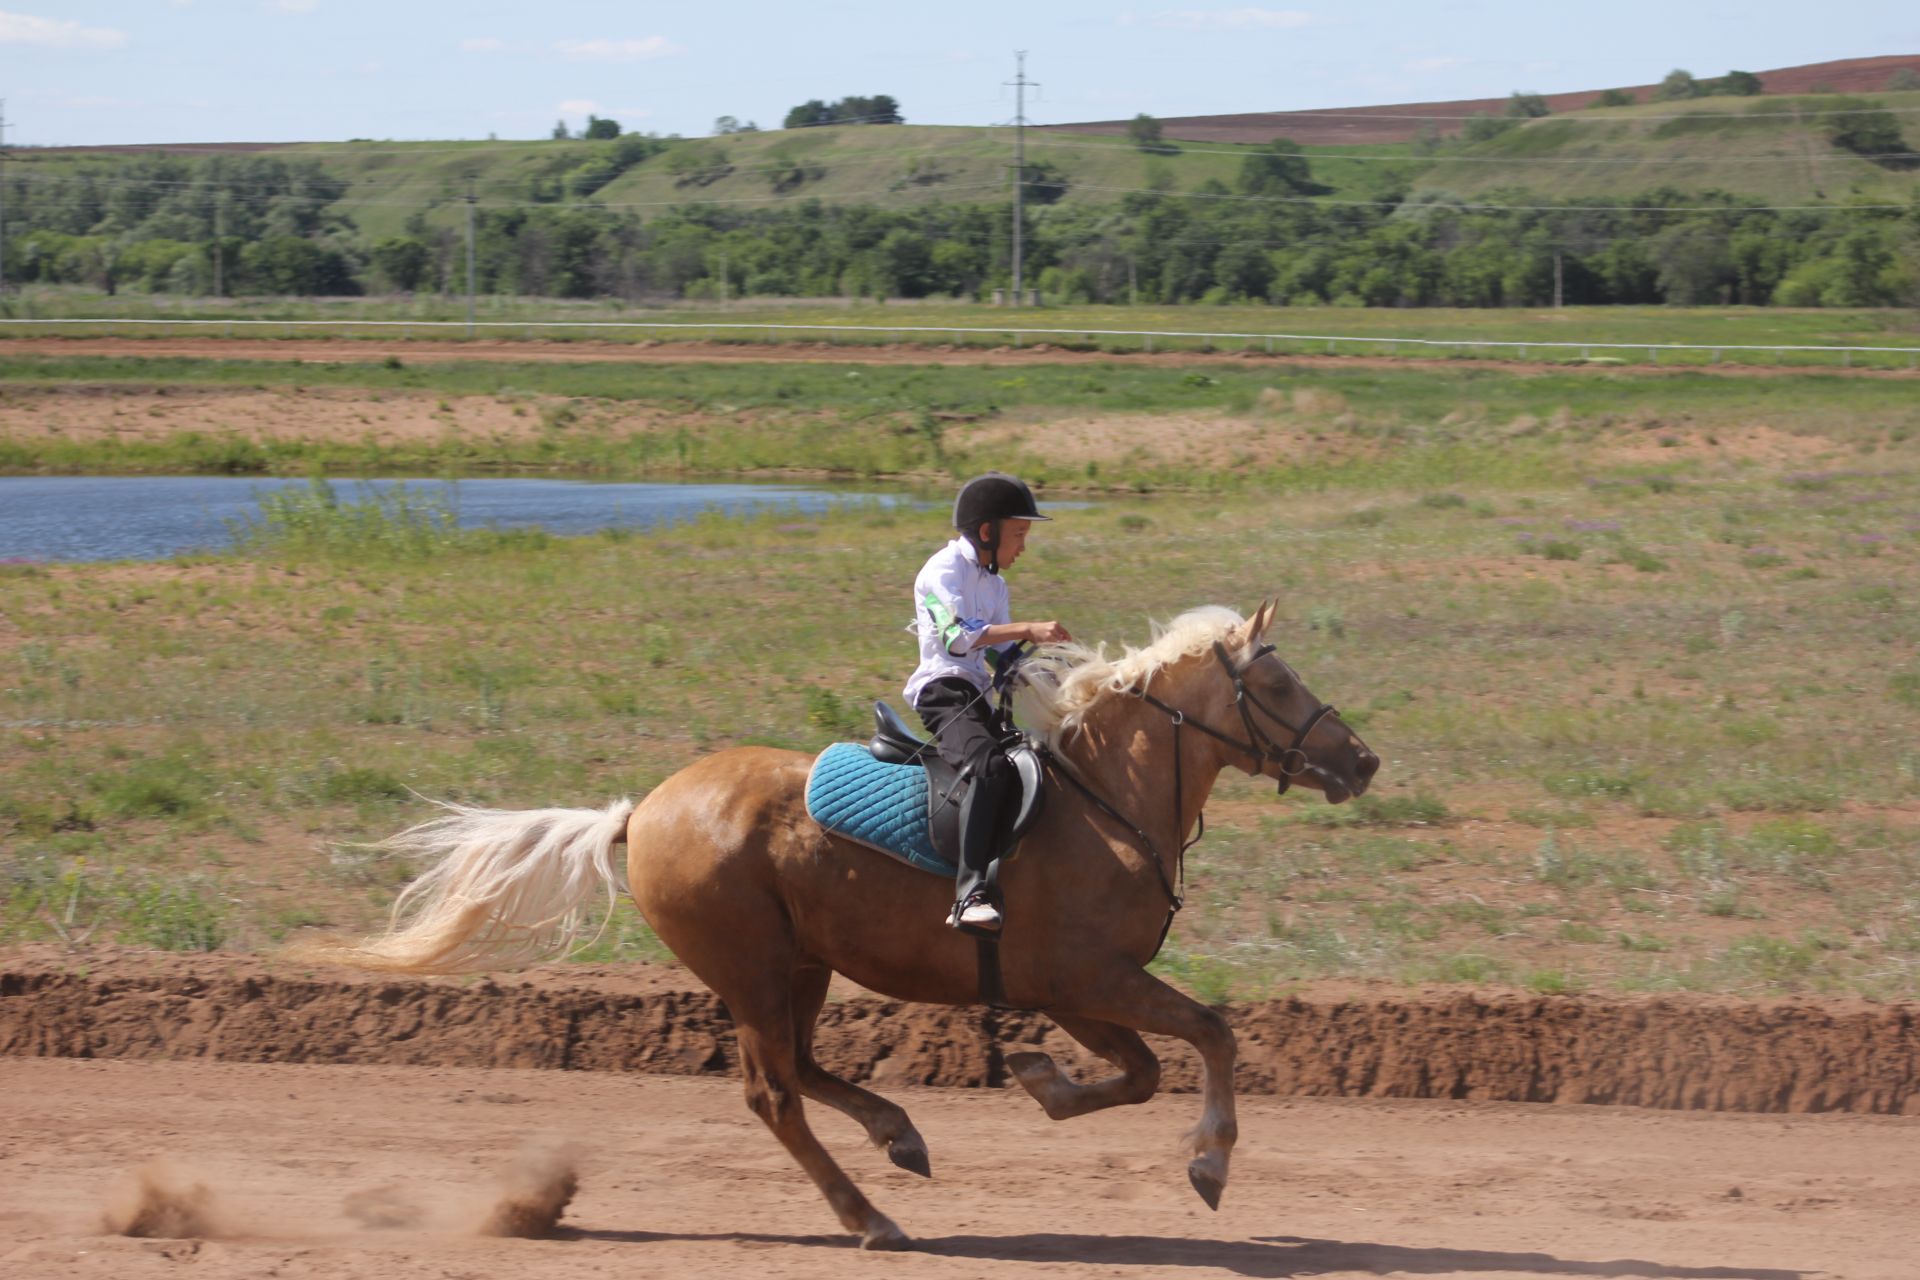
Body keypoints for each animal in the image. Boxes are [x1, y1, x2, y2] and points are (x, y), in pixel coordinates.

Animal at [295, 602, 1382, 1251]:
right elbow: (1210, 1034)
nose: (1362, 761)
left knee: (801, 1069)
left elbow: (1147, 1068)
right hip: (752, 968)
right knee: (774, 1092)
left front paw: (1041, 1080)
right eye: (1274, 684)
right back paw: (870, 1214)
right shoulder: (1088, 977)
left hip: (801, 963)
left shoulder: (1072, 988)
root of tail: (643, 811)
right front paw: (1208, 1161)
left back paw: (899, 1136)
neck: (1105, 799)